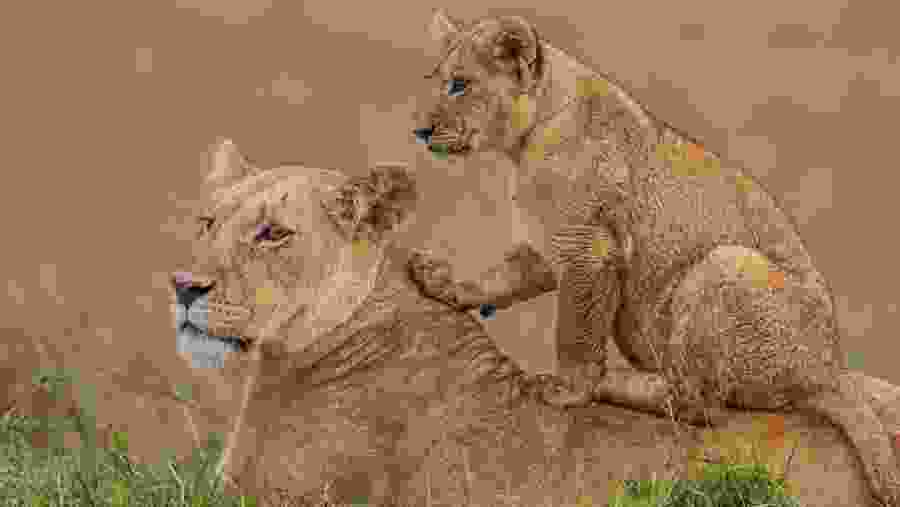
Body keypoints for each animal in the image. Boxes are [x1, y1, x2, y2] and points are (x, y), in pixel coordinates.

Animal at [407, 10, 900, 505]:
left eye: (459, 84)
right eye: (437, 81)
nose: (420, 131)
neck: (525, 144)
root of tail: (829, 371)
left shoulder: (589, 249)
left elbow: (574, 331)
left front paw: (570, 389)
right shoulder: (548, 245)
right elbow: (502, 276)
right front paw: (445, 284)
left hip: (724, 265)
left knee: (698, 404)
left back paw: (613, 381)